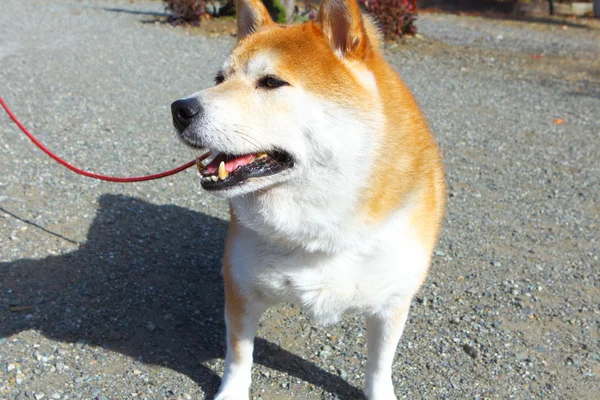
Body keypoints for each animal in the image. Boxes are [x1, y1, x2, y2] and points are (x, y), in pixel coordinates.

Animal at [171, 0, 442, 398]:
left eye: (271, 82)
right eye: (219, 79)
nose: (179, 109)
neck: (319, 227)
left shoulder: (392, 300)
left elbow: (380, 365)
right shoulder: (241, 290)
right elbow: (239, 356)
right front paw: (232, 392)